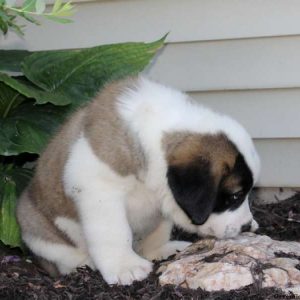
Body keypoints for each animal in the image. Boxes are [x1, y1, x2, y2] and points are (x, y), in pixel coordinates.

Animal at [17, 76, 260, 284]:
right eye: (235, 196)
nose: (247, 226)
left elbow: (158, 229)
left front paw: (157, 251)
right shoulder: (99, 190)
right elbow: (114, 232)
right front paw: (125, 266)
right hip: (35, 225)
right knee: (63, 255)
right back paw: (84, 263)